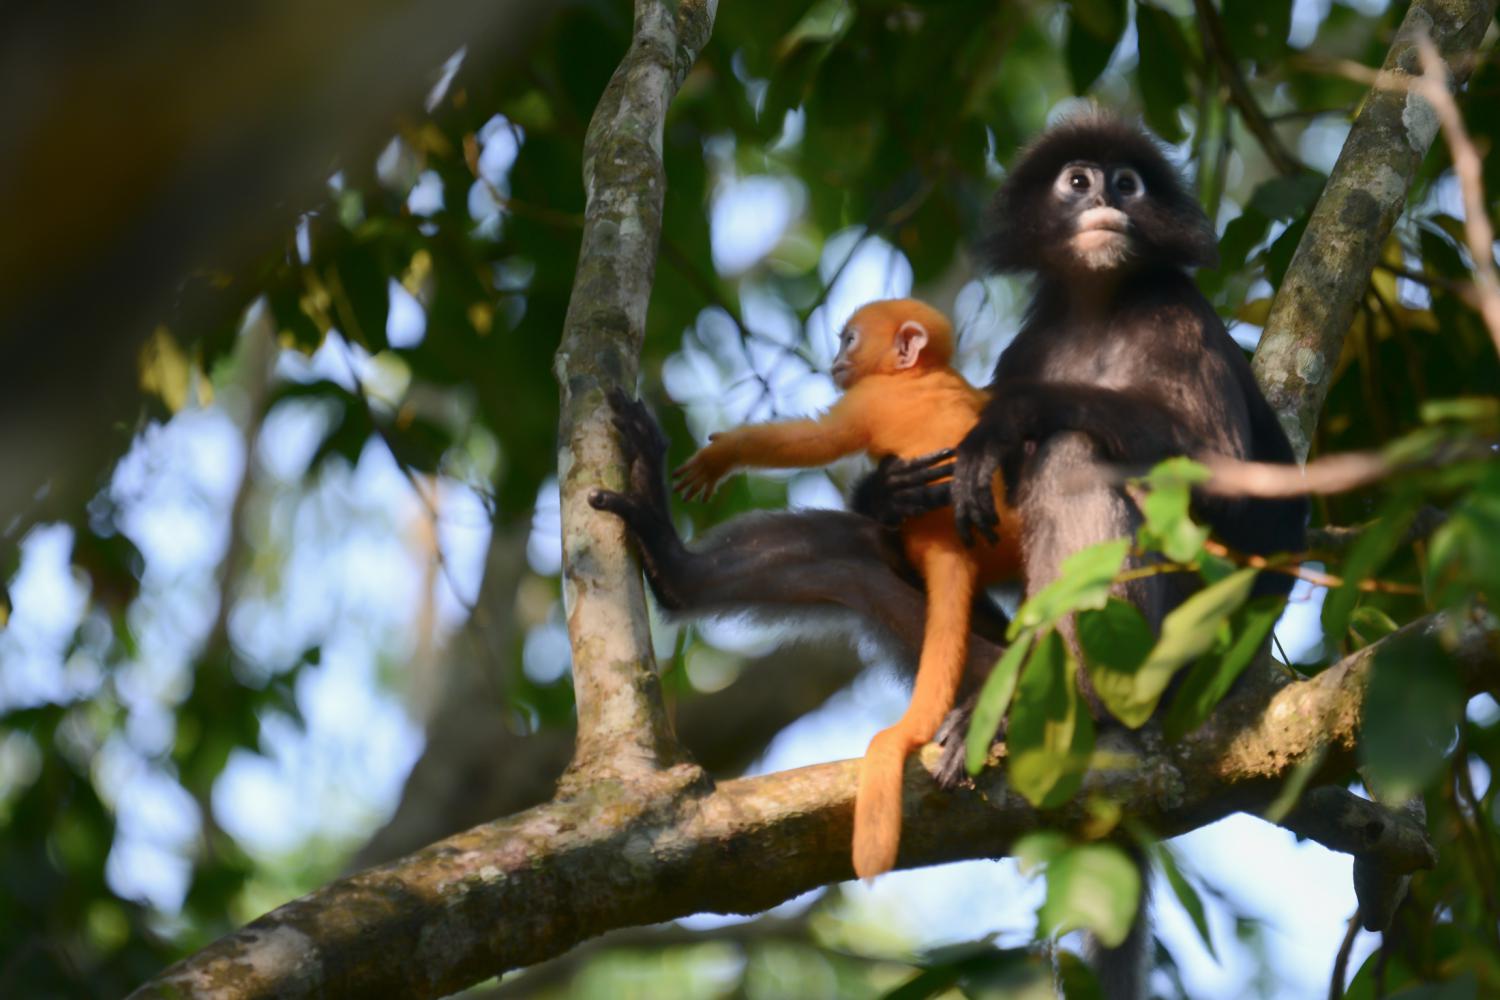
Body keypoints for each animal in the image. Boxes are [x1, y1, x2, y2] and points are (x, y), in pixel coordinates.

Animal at [678, 301, 1020, 881]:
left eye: (851, 340)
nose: (835, 359)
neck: (924, 373)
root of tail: (953, 545)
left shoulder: (868, 399)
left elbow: (815, 439)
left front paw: (721, 457)